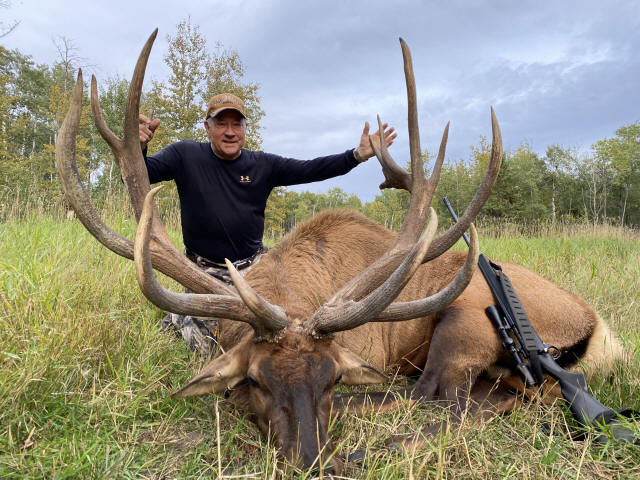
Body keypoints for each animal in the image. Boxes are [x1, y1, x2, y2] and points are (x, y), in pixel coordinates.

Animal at [56, 30, 623, 474]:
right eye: (254, 380)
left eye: (331, 379)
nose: (309, 459)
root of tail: (596, 328)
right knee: (491, 397)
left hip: (466, 318)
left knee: (436, 396)